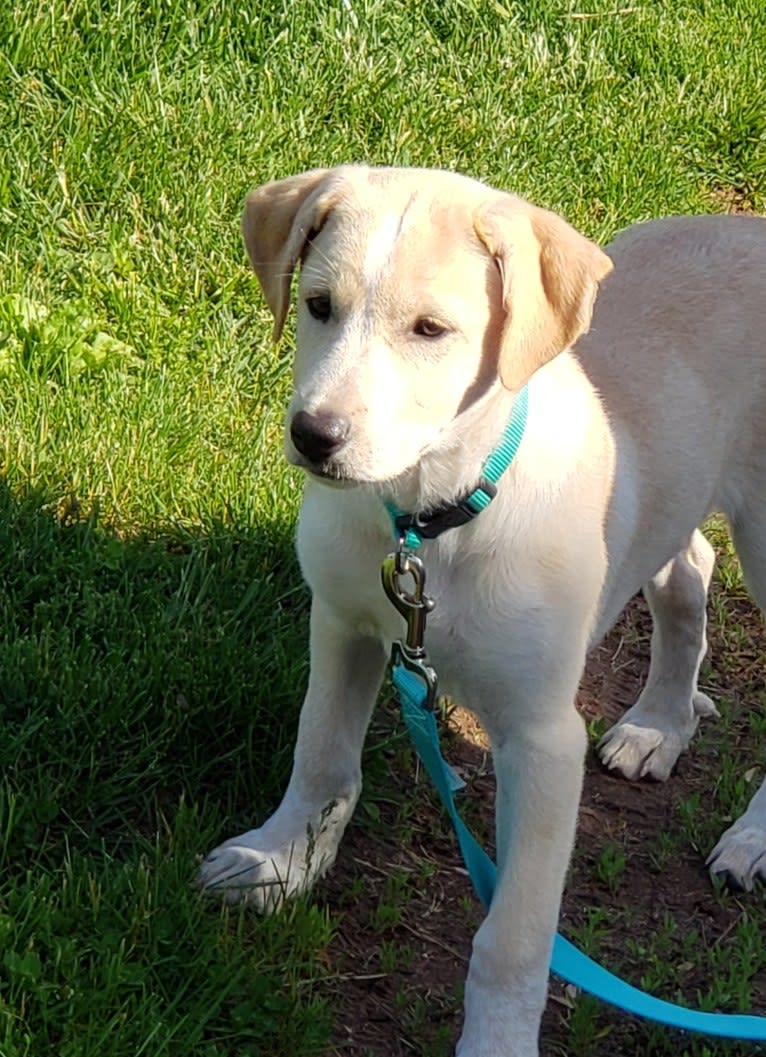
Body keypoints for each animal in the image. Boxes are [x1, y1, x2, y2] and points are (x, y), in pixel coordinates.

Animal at [198, 167, 764, 1057]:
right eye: (319, 305)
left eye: (431, 329)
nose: (314, 434)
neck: (435, 515)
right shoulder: (344, 624)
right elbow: (320, 752)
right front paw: (277, 859)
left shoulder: (543, 739)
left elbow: (514, 936)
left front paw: (496, 1039)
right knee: (689, 569)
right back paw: (659, 723)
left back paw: (750, 836)